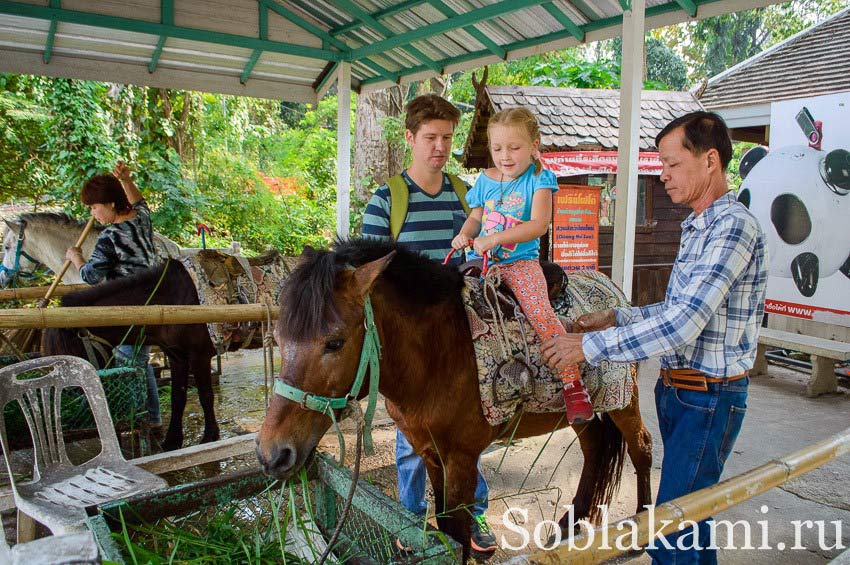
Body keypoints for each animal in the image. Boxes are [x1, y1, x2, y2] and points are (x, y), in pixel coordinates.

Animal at [255, 237, 652, 556]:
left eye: (335, 343)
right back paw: (567, 530)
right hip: (584, 414)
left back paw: (644, 525)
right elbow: (445, 525)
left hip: (625, 401)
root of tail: (615, 290)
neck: (438, 353)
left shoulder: (461, 460)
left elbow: (459, 531)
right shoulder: (431, 454)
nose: (272, 454)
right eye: (279, 338)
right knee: (594, 449)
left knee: (642, 448)